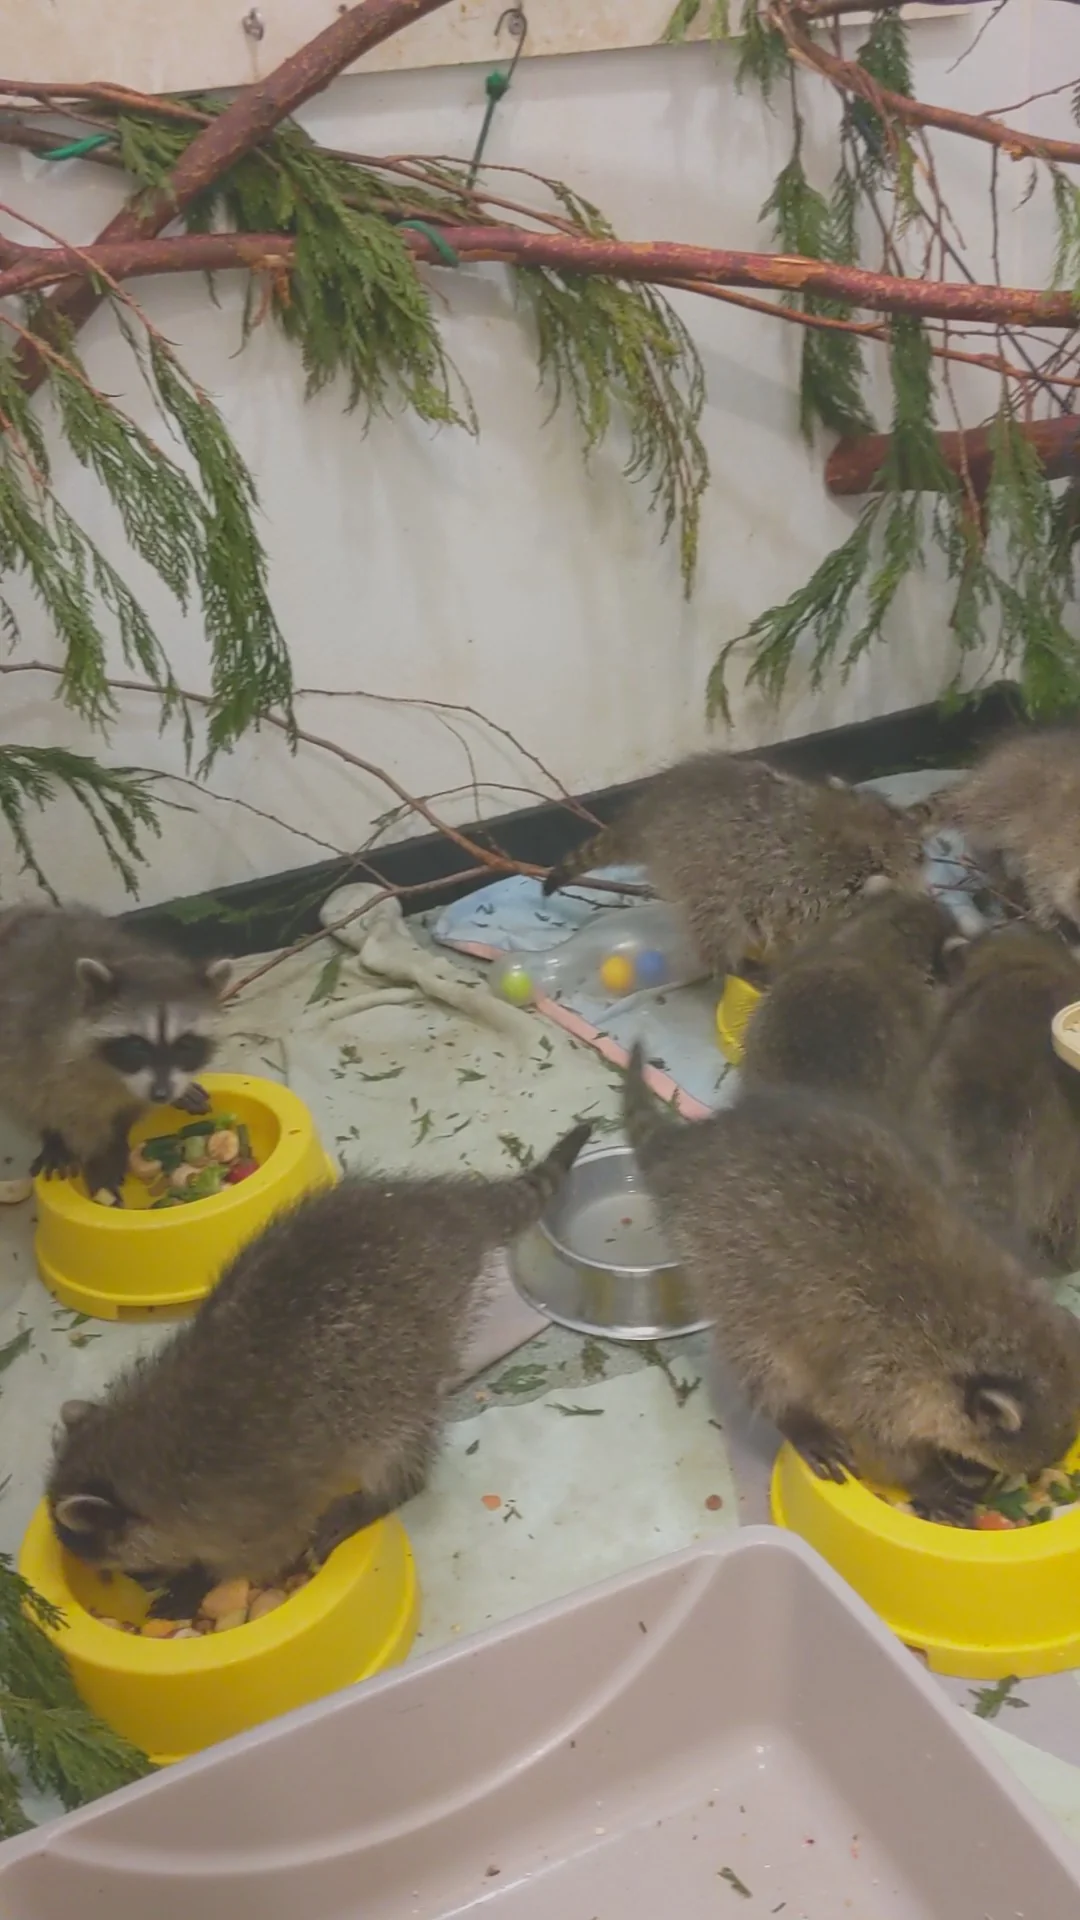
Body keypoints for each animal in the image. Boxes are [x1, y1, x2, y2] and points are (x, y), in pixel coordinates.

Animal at [0, 904, 230, 1198]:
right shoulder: (43, 1048)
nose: (161, 1094)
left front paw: (118, 1138)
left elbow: (131, 1107)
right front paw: (90, 1152)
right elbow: (55, 1106)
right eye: (137, 1045)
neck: (115, 1074)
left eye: (185, 1045)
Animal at [47, 1121, 592, 1598]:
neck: (139, 1451)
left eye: (119, 1564)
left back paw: (380, 1494)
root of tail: (442, 1210)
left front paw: (195, 1582)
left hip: (406, 1364)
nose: (138, 1586)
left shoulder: (253, 1507)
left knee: (398, 1445)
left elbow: (264, 1554)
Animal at [542, 753, 926, 978]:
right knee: (717, 923)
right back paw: (727, 966)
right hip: (701, 873)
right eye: (918, 856)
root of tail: (648, 813)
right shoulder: (804, 891)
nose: (926, 867)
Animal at [623, 1046, 1080, 1521]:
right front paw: (925, 1478)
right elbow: (871, 1436)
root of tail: (698, 1145)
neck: (987, 1326)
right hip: (723, 1266)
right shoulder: (877, 1369)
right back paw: (793, 1417)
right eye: (977, 1462)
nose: (984, 1492)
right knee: (761, 1358)